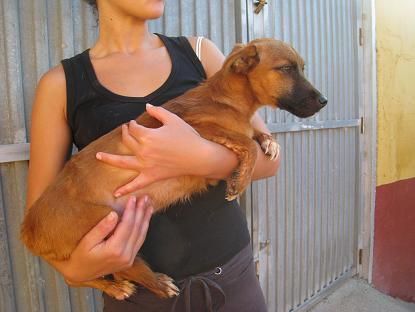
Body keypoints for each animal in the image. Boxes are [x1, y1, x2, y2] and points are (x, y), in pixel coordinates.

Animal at [22, 39, 328, 300]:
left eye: (300, 67)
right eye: (286, 69)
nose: (324, 101)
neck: (228, 100)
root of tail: (28, 228)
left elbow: (253, 134)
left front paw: (268, 141)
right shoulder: (196, 128)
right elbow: (245, 142)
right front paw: (239, 181)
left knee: (94, 274)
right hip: (103, 223)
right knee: (104, 271)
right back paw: (152, 284)